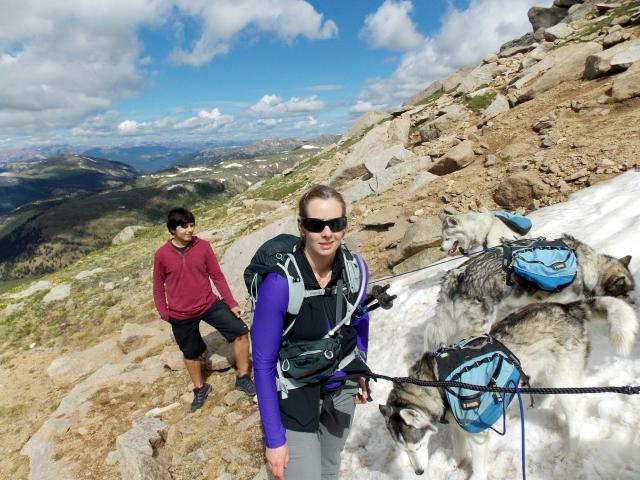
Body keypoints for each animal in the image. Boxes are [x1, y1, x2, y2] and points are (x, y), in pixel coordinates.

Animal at [382, 298, 636, 478]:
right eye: (403, 449)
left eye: (415, 445)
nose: (418, 472)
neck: (437, 381)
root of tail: (564, 307)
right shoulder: (457, 427)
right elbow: (458, 449)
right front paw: (453, 464)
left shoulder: (478, 434)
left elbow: (478, 466)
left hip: (564, 380)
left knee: (575, 415)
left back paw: (569, 449)